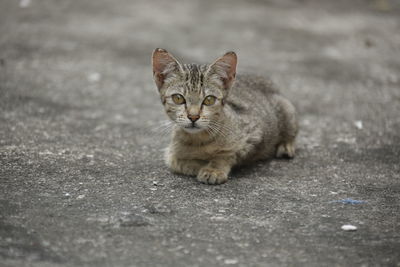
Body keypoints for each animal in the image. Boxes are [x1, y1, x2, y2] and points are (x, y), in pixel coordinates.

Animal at [152, 48, 298, 185]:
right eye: (178, 98)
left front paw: (213, 169)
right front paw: (199, 164)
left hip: (287, 110)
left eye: (209, 100)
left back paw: (286, 146)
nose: (193, 117)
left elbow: (227, 154)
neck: (198, 140)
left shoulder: (254, 133)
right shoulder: (171, 153)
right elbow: (176, 161)